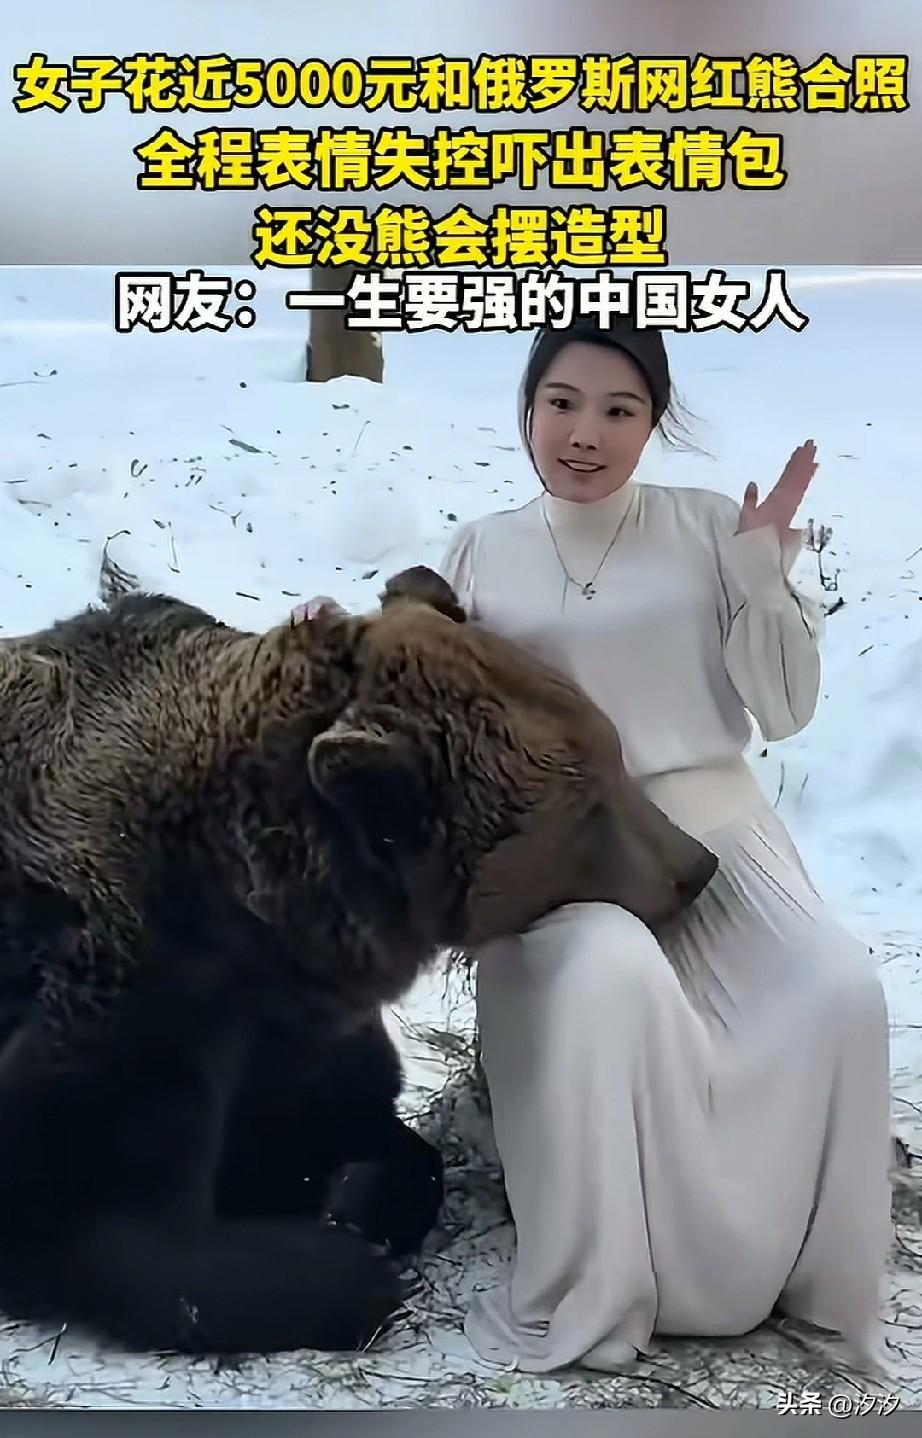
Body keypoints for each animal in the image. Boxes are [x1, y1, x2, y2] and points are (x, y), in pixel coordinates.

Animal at [0, 567, 718, 1358]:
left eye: (610, 751)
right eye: (588, 809)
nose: (696, 865)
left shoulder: (296, 1029)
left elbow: (355, 1116)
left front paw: (356, 1193)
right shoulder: (134, 980)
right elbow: (78, 1200)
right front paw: (342, 1264)